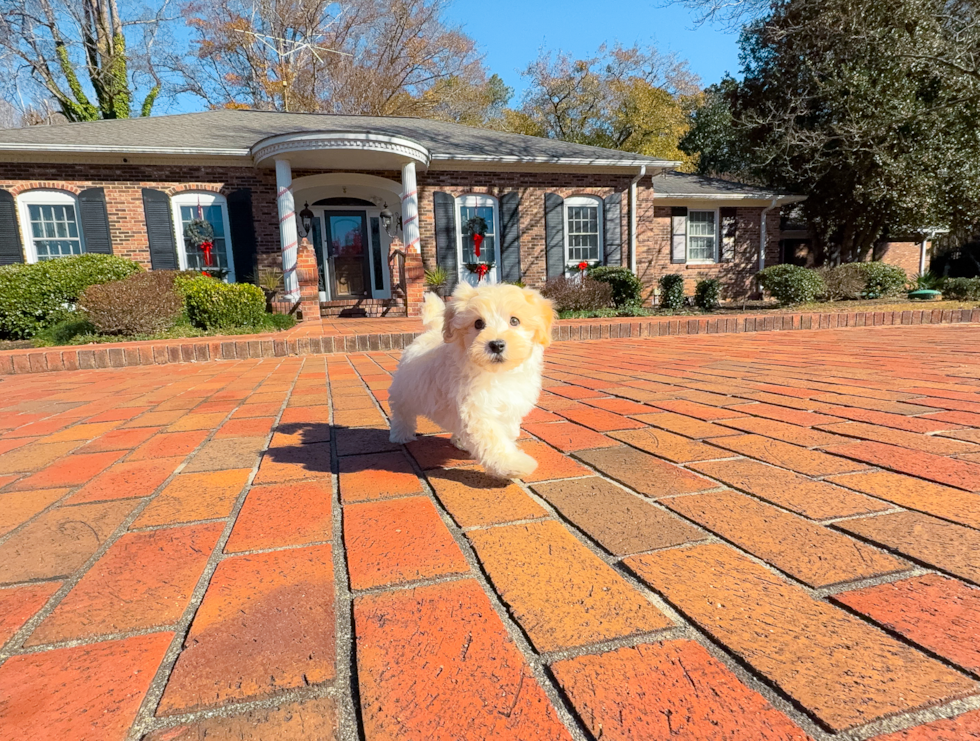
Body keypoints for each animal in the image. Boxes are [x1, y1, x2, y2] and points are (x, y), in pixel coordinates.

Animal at [390, 282, 560, 480]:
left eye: (514, 321)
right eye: (478, 323)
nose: (496, 345)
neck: (496, 374)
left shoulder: (509, 406)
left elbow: (506, 430)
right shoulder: (476, 410)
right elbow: (493, 439)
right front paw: (513, 464)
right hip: (406, 390)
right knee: (402, 412)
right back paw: (400, 435)